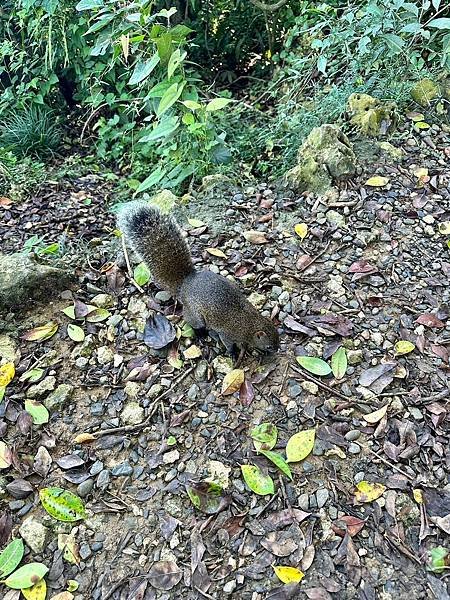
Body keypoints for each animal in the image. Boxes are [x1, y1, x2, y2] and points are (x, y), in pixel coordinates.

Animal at [117, 202, 278, 356]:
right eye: (269, 346)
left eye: (277, 336)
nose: (277, 350)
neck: (250, 323)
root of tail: (185, 284)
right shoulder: (228, 333)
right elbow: (228, 343)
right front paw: (232, 352)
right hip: (196, 316)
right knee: (192, 321)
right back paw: (201, 334)